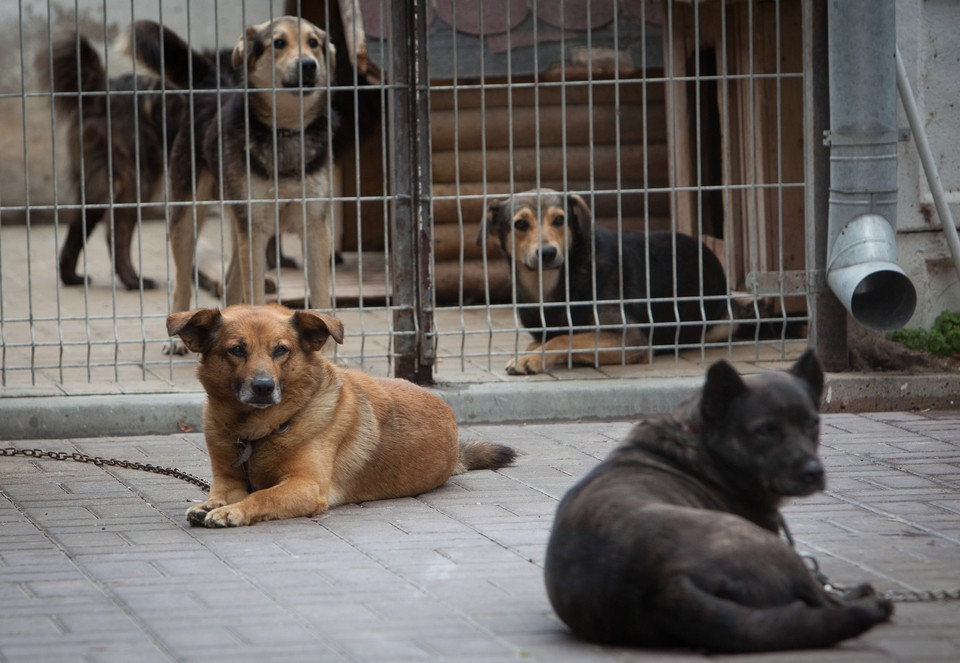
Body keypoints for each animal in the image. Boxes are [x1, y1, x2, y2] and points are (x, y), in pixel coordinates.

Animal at [169, 306, 520, 528]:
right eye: (237, 350)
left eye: (281, 350)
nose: (263, 387)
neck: (259, 432)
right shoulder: (228, 482)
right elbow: (222, 494)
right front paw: (212, 506)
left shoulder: (306, 486)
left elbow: (262, 497)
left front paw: (234, 512)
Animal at [484, 189, 732, 376]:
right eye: (520, 224)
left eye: (559, 220)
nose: (547, 253)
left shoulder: (631, 338)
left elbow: (565, 338)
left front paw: (533, 358)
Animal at [544, 350, 896, 652]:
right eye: (764, 431)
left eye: (813, 423)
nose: (814, 472)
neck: (702, 442)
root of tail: (666, 580)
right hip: (770, 547)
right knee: (824, 601)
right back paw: (866, 602)